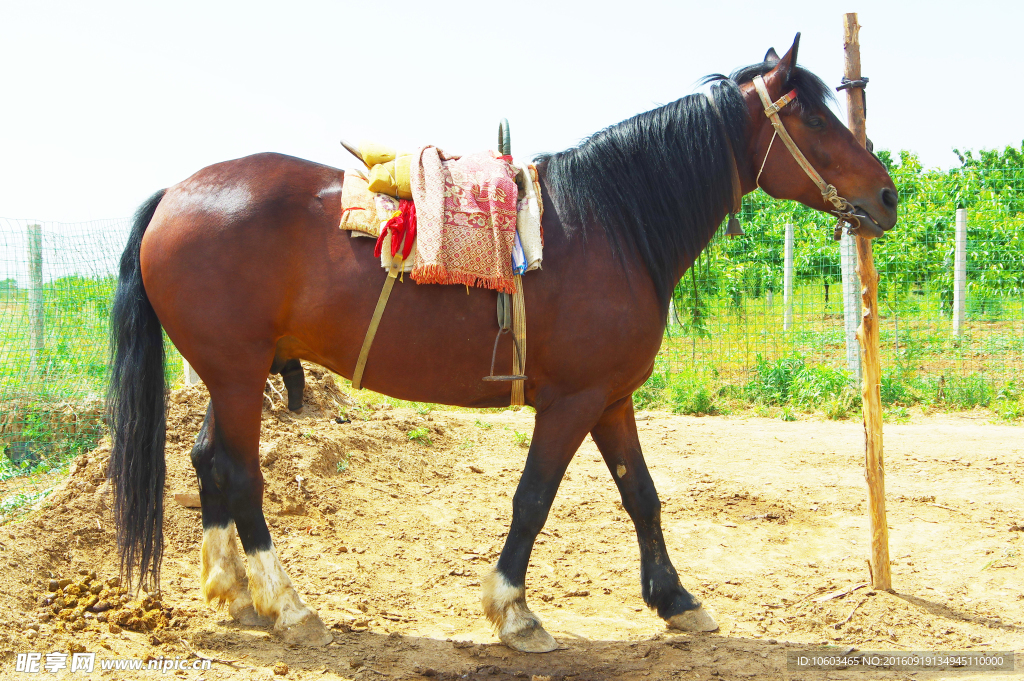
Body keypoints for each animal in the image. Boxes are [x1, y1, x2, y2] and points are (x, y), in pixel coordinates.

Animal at [105, 34, 897, 651]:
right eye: (812, 116)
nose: (888, 197)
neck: (610, 223)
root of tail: (174, 194)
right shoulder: (572, 401)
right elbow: (534, 498)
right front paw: (513, 611)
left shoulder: (612, 398)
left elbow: (642, 495)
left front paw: (675, 600)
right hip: (240, 374)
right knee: (240, 475)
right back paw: (288, 604)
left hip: (230, 374)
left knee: (208, 461)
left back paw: (233, 592)